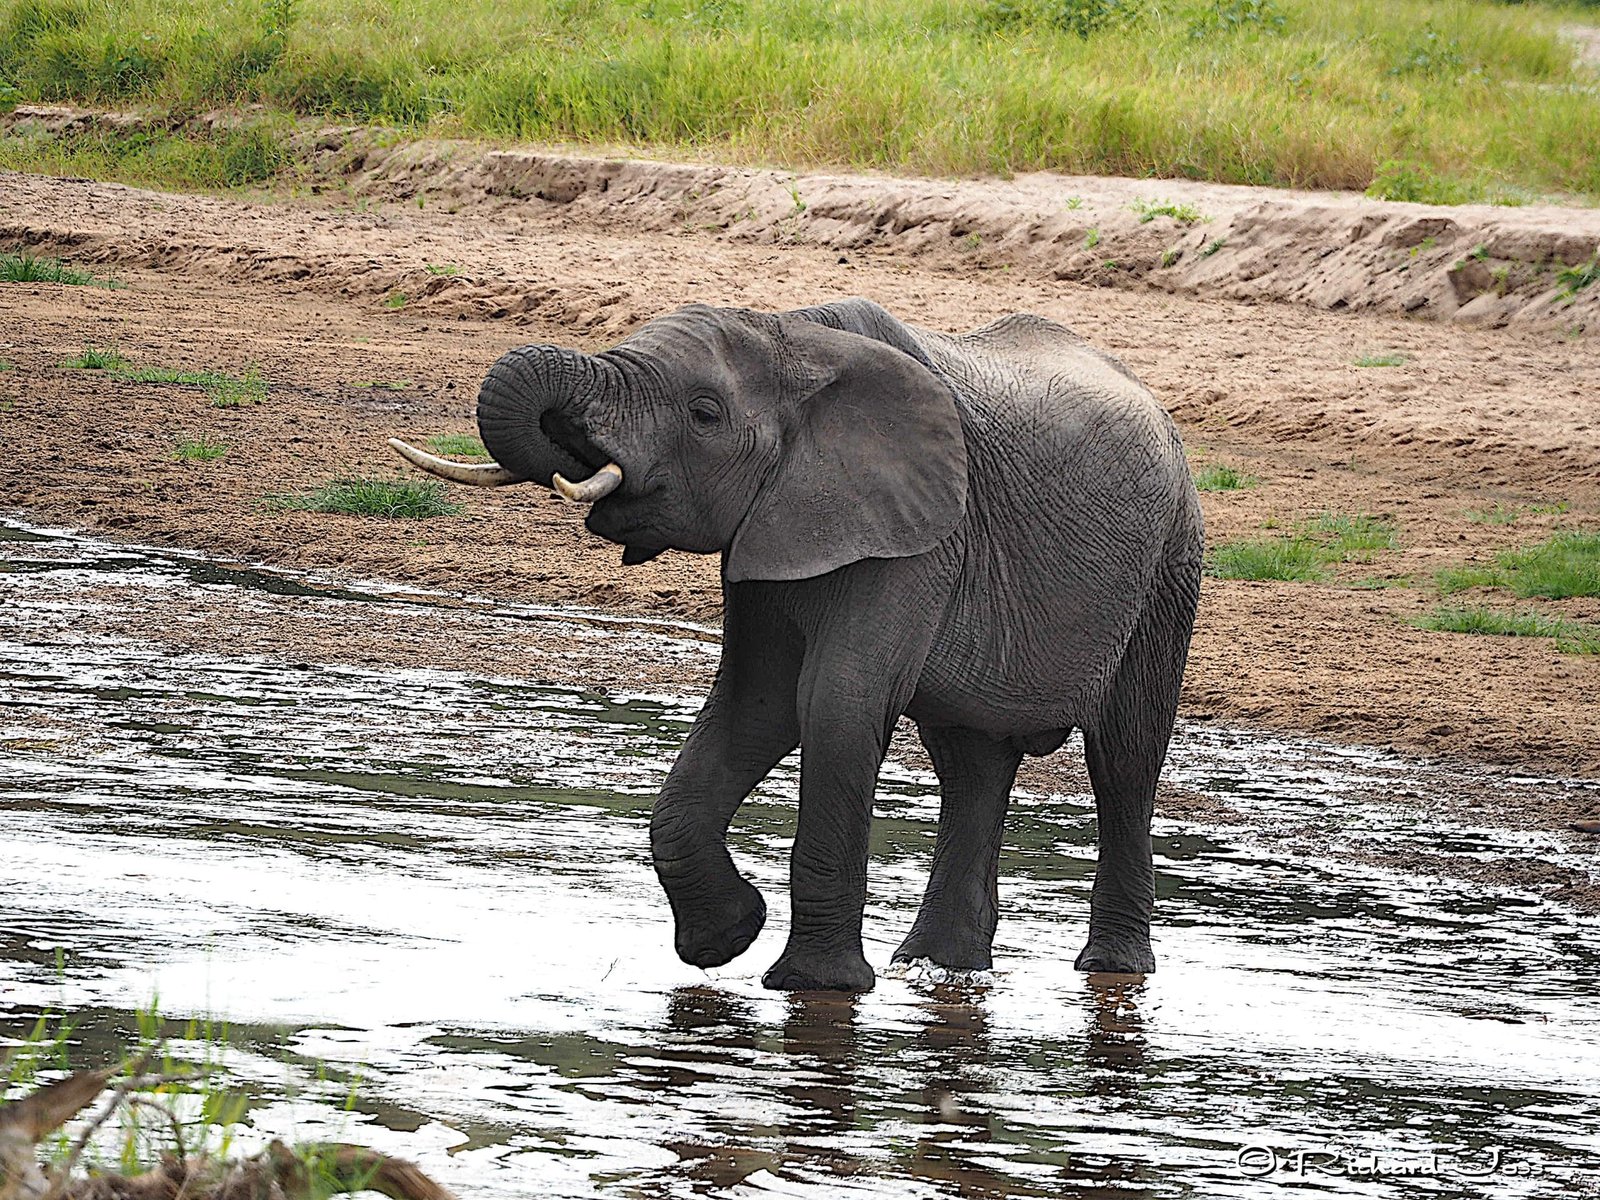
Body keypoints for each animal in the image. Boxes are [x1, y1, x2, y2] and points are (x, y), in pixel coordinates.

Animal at [390, 298, 1203, 992]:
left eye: (704, 414)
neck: (794, 337)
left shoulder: (917, 538)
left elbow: (835, 705)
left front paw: (813, 986)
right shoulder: (773, 531)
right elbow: (755, 706)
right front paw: (726, 941)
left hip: (1170, 566)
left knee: (1124, 760)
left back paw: (1110, 971)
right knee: (971, 763)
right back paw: (937, 972)